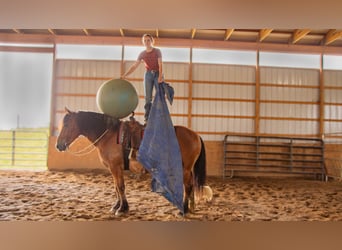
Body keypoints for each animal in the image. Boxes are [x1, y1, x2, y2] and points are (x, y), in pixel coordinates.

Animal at [56, 108, 211, 216]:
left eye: (67, 125)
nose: (59, 145)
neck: (108, 135)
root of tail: (195, 135)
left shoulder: (115, 167)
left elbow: (120, 187)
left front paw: (122, 209)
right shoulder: (113, 169)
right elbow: (116, 187)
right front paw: (117, 206)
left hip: (184, 169)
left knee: (188, 186)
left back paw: (183, 209)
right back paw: (191, 207)